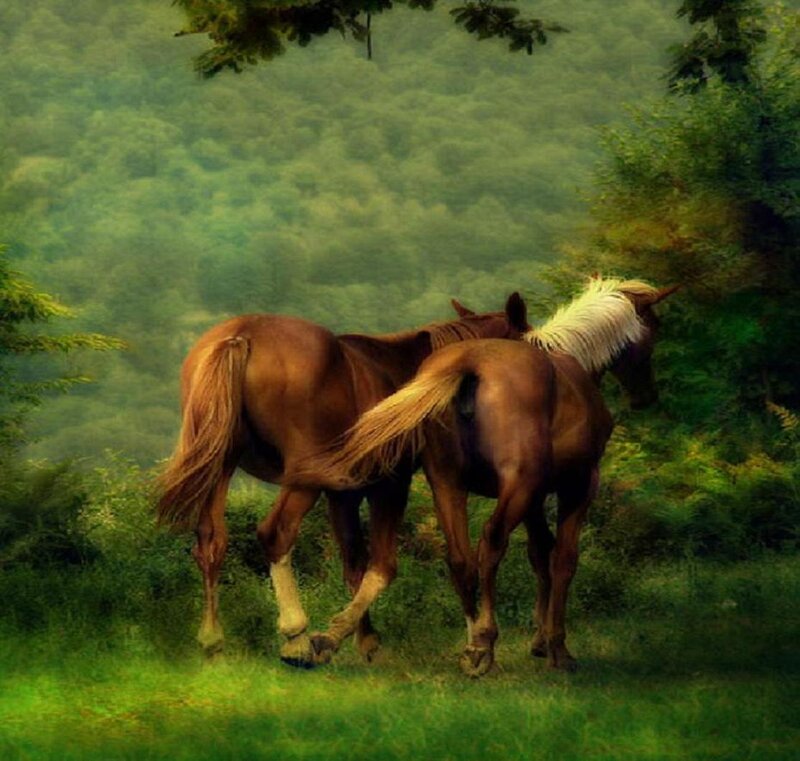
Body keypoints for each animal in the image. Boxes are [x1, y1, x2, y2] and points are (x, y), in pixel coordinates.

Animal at [155, 293, 531, 666]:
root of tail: (240, 336)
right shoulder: (390, 486)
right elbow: (382, 565)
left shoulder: (343, 494)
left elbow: (354, 564)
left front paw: (361, 640)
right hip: (303, 478)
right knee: (275, 533)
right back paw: (296, 637)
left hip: (220, 464)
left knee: (211, 541)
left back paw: (212, 641)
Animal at [302, 278, 678, 675]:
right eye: (655, 326)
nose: (645, 396)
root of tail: (470, 365)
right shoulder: (577, 487)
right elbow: (562, 559)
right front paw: (557, 647)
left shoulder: (533, 499)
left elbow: (539, 554)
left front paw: (539, 640)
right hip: (510, 488)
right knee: (490, 544)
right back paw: (482, 642)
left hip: (446, 484)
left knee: (456, 557)